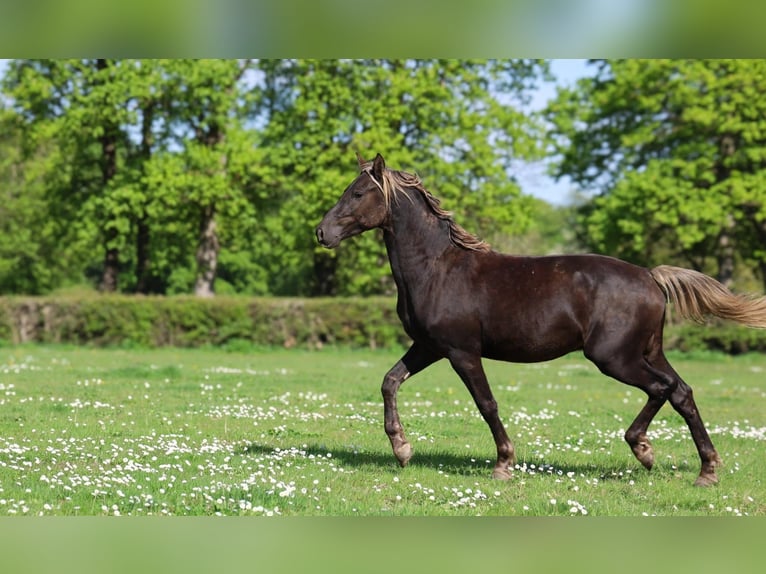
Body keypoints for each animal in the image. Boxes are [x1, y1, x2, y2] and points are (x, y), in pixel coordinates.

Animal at [316, 153, 766, 486]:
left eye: (358, 193)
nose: (322, 233)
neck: (438, 268)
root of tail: (650, 277)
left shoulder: (461, 352)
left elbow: (486, 403)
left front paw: (503, 464)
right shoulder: (428, 346)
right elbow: (390, 381)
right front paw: (402, 449)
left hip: (613, 358)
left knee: (664, 389)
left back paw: (650, 451)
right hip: (647, 351)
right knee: (681, 392)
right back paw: (699, 468)